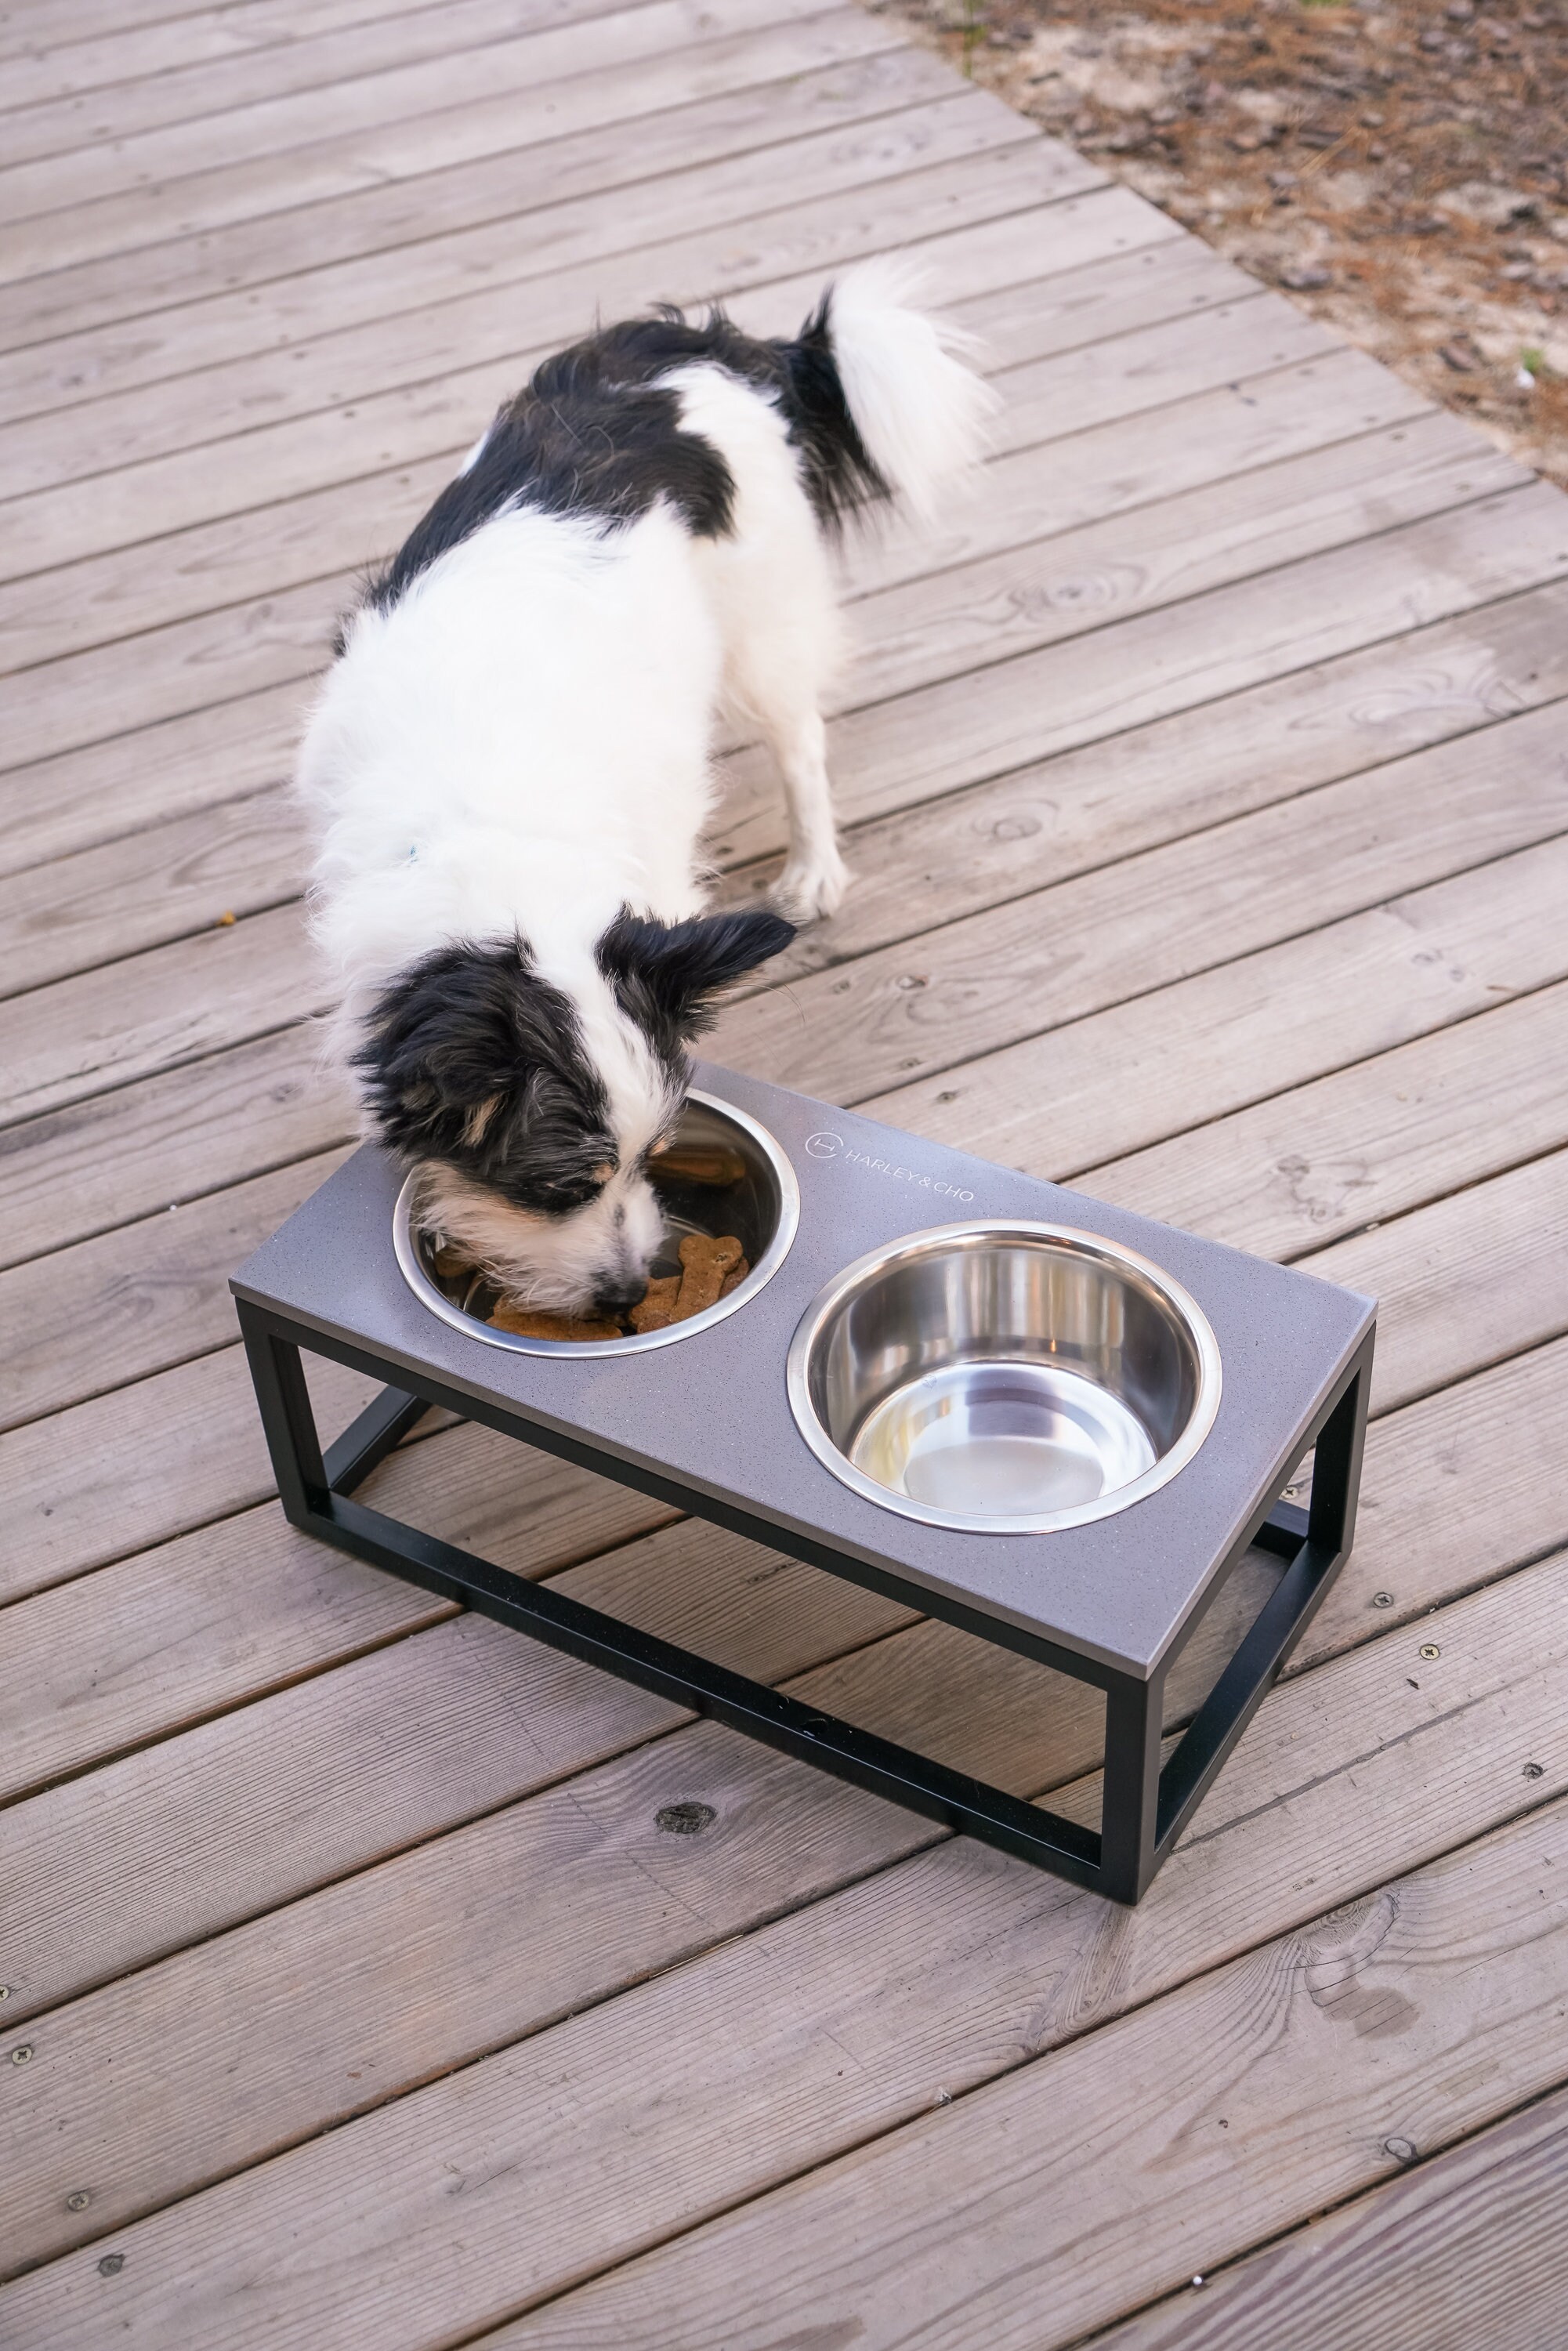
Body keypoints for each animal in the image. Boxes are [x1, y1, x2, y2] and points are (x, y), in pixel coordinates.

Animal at [301, 266, 992, 1326]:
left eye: (656, 1157)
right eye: (560, 1188)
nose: (629, 1291)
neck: (500, 832)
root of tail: (726, 346)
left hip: (763, 629)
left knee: (802, 739)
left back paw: (812, 871)